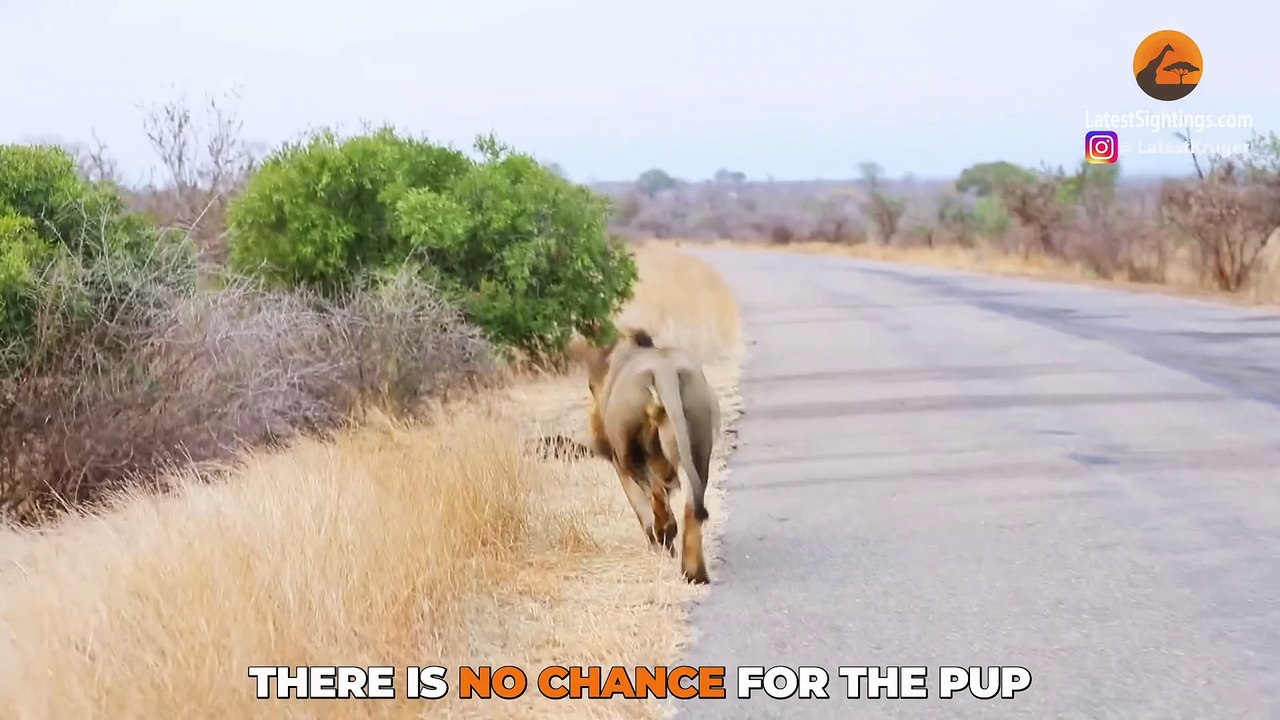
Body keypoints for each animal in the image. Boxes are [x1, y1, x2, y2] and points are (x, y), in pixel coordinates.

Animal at [584, 328, 721, 584]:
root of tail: (664, 372)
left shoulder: (620, 463)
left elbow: (642, 509)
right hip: (698, 440)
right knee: (691, 506)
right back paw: (695, 573)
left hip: (632, 452)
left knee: (656, 493)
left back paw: (666, 534)